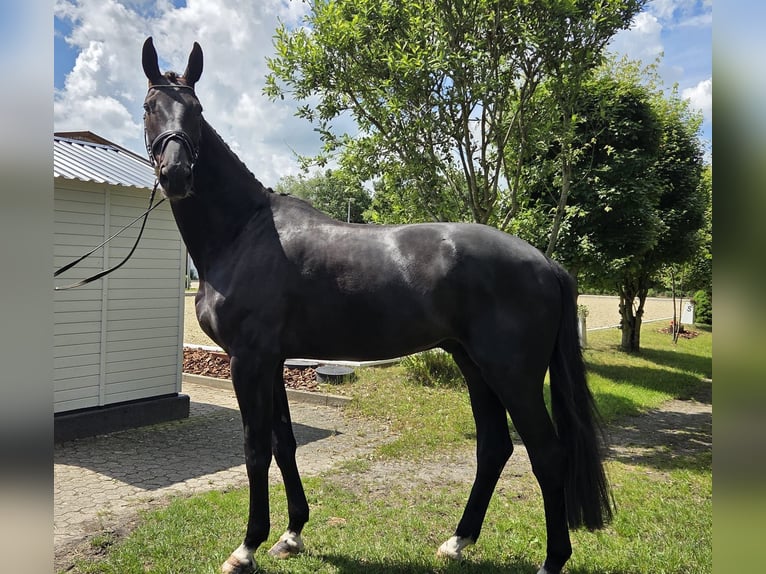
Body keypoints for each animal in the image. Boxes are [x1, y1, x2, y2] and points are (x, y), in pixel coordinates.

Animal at [141, 37, 613, 574]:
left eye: (197, 111)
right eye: (151, 106)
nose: (176, 174)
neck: (244, 232)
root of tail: (545, 263)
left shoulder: (249, 360)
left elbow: (256, 448)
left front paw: (247, 547)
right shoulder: (272, 361)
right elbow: (284, 443)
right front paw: (291, 533)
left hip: (513, 375)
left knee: (548, 455)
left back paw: (551, 560)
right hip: (474, 365)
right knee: (494, 447)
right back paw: (457, 541)